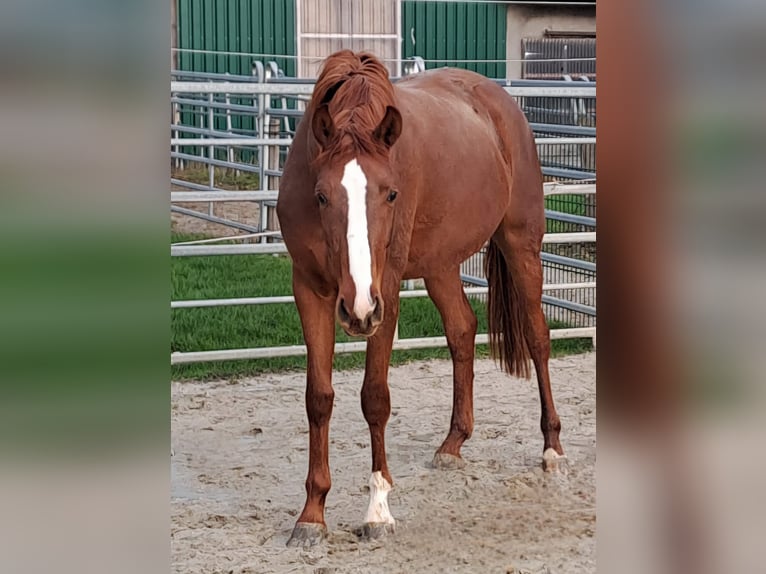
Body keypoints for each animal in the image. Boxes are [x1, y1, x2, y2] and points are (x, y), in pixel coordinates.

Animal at [276, 50, 564, 548]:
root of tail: (500, 103)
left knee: (537, 337)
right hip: (440, 265)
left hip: (520, 244)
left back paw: (552, 449)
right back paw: (453, 444)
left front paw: (377, 511)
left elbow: (374, 397)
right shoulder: (310, 289)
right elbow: (318, 398)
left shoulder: (385, 292)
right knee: (463, 330)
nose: (358, 309)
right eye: (321, 195)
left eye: (391, 193)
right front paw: (312, 514)